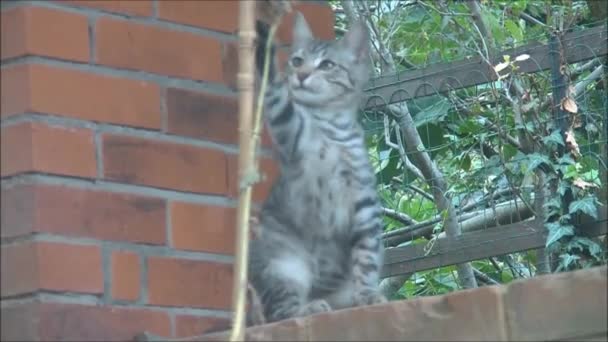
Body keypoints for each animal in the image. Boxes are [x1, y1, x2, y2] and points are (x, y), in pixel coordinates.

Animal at [248, 12, 384, 324]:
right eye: (297, 61)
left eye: (327, 65)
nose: (301, 75)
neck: (334, 129)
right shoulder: (291, 131)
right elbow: (277, 94)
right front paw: (264, 40)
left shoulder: (364, 204)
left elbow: (366, 258)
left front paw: (367, 294)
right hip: (284, 267)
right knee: (281, 312)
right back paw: (308, 307)